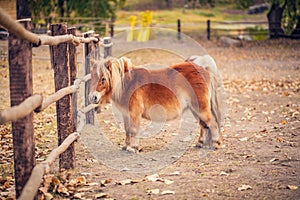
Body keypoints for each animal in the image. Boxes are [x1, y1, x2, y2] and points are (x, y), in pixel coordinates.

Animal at [89, 55, 225, 152]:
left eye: (103, 79)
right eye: (92, 78)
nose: (92, 97)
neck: (128, 82)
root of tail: (204, 70)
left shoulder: (135, 113)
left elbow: (133, 130)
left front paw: (133, 148)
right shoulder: (126, 114)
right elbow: (127, 130)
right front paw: (126, 146)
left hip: (201, 108)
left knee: (211, 123)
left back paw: (215, 144)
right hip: (195, 109)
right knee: (203, 125)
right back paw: (201, 143)